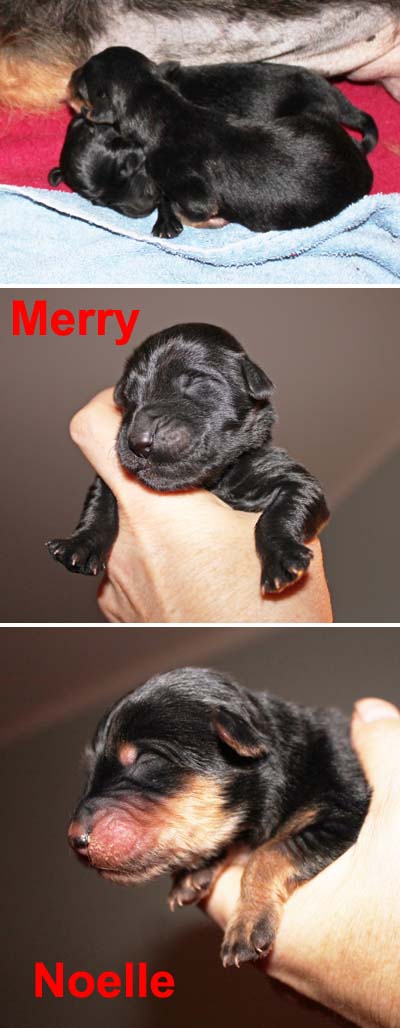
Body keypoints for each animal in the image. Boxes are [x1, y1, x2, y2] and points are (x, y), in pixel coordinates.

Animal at [46, 320, 326, 596]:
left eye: (197, 383)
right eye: (127, 398)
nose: (138, 440)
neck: (214, 481)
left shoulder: (292, 478)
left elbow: (279, 512)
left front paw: (283, 559)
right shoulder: (105, 481)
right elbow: (99, 503)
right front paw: (79, 545)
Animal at [67, 670, 368, 966]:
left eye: (147, 759)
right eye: (88, 772)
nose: (74, 839)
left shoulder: (347, 810)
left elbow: (268, 854)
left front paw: (246, 923)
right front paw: (196, 871)